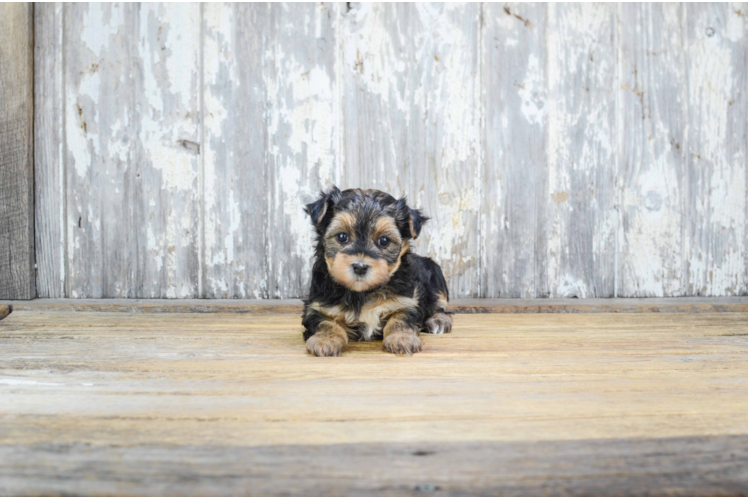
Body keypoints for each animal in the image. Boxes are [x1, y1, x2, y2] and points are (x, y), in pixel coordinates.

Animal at [300, 188, 452, 356]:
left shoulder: (408, 301)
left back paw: (439, 320)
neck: (363, 292)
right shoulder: (317, 306)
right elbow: (324, 322)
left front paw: (402, 338)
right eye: (342, 236)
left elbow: (401, 318)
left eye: (384, 241)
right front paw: (325, 340)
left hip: (436, 277)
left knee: (440, 306)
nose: (360, 267)